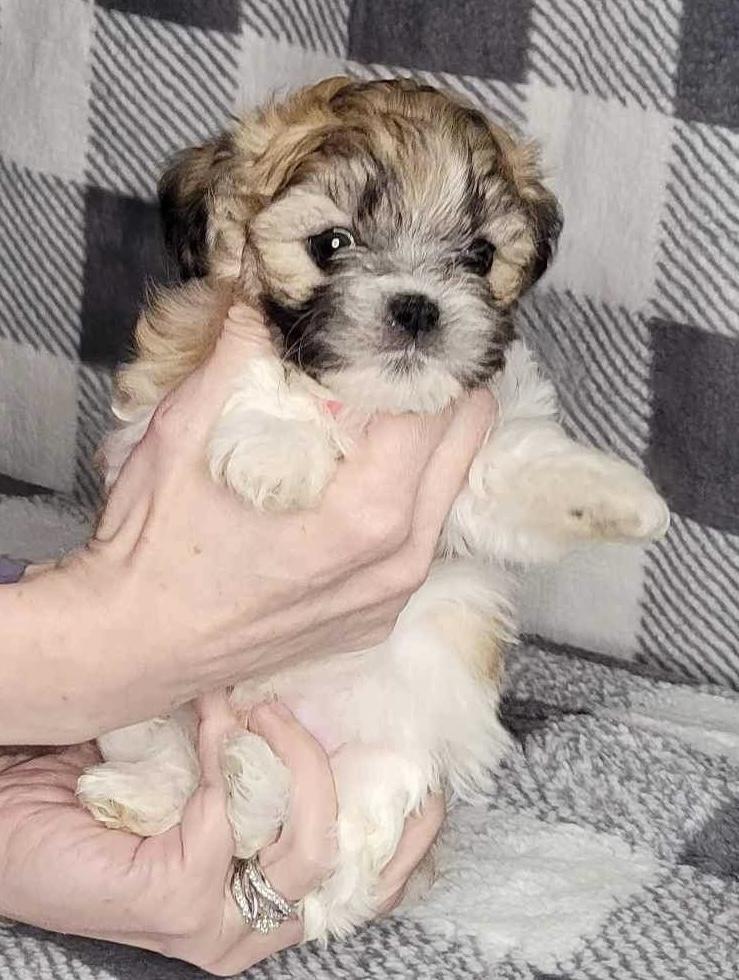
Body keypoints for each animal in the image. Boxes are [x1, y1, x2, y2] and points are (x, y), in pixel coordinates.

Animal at [77, 77, 669, 941]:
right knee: (176, 762)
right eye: (331, 244)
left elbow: (518, 473)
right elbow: (264, 373)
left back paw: (270, 806)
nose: (417, 307)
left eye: (479, 256)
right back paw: (151, 791)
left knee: (332, 835)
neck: (369, 405)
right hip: (150, 691)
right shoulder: (182, 371)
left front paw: (621, 501)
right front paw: (276, 449)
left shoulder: (479, 452)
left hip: (392, 755)